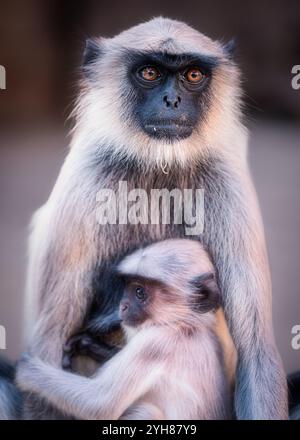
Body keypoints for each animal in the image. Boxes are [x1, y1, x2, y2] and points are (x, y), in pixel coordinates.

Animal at [20, 18, 286, 420]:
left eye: (193, 74)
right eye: (149, 72)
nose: (172, 101)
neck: (160, 165)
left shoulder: (226, 182)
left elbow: (255, 347)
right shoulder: (88, 179)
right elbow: (49, 339)